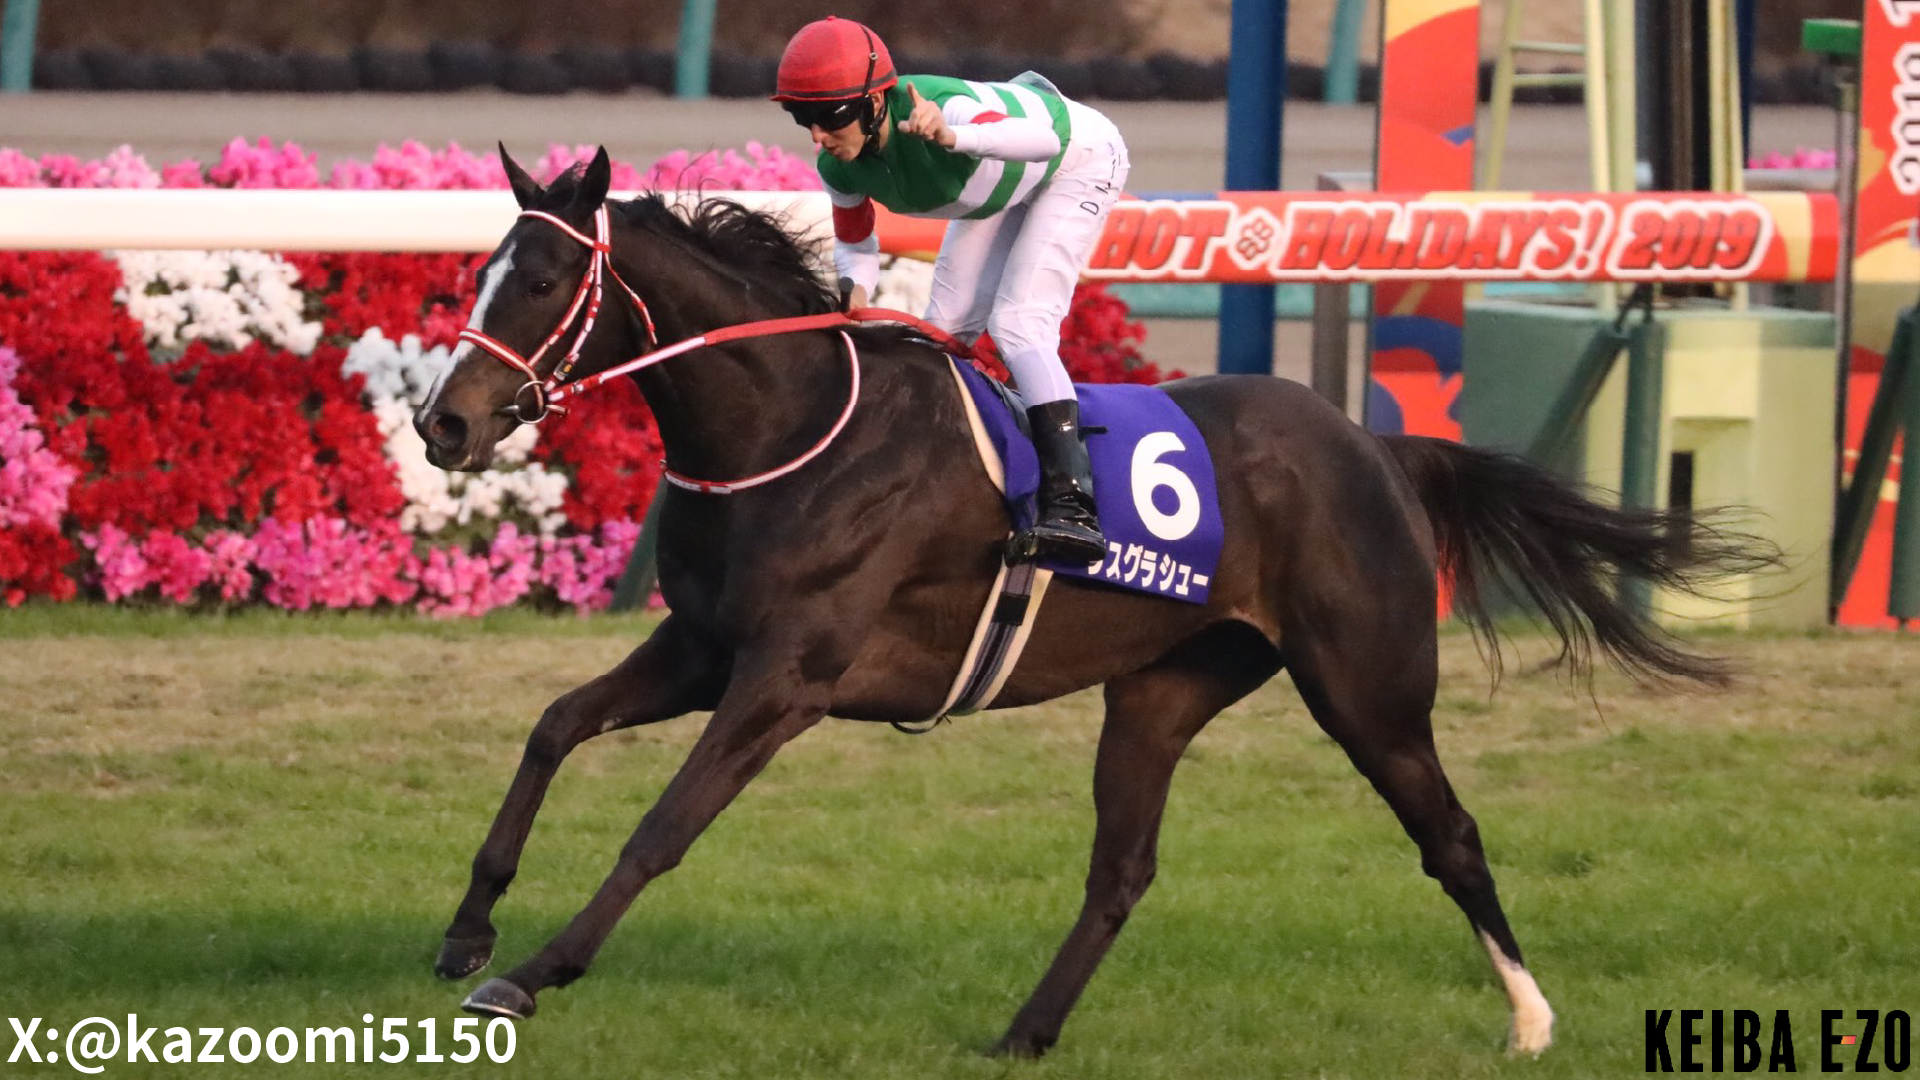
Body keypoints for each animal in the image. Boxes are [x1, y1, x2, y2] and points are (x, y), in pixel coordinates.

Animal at [412, 146, 1768, 1057]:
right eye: (480, 271)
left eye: (543, 279)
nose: (444, 424)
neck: (790, 428)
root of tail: (1377, 445)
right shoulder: (700, 647)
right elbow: (552, 728)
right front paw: (466, 932)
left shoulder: (784, 678)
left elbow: (662, 827)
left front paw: (533, 970)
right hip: (1163, 692)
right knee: (1122, 870)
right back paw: (1025, 1031)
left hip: (1369, 688)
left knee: (1453, 835)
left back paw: (1532, 1019)